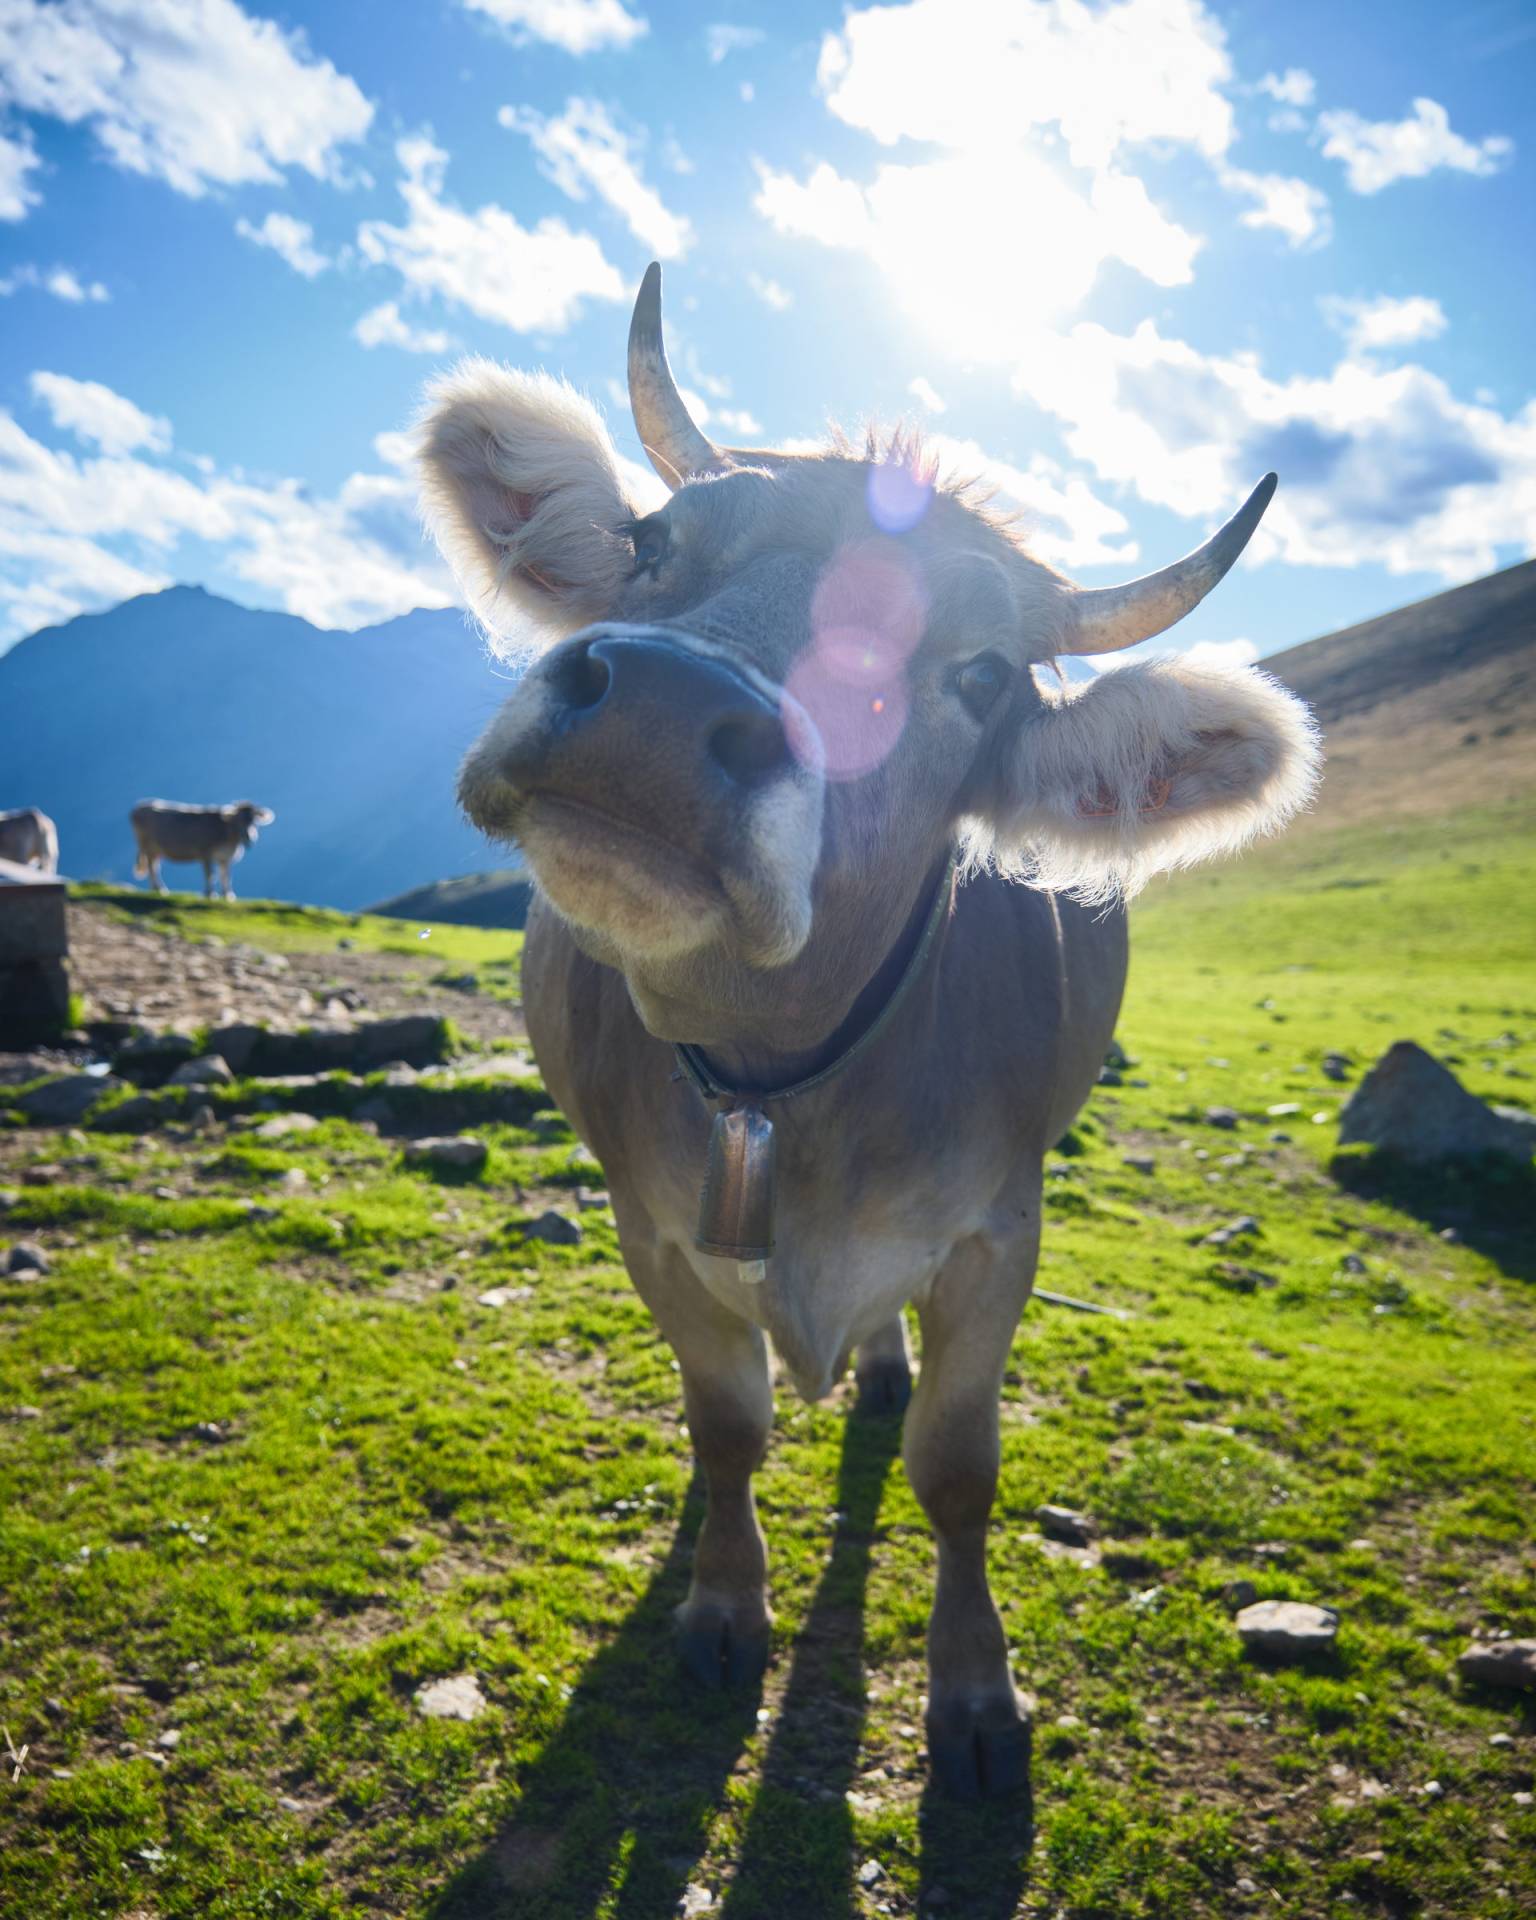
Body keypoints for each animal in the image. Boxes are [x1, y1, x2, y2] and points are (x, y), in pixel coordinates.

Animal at [131, 800, 275, 900]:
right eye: (239, 820)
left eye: (254, 820)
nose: (249, 837)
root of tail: (139, 806)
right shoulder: (206, 853)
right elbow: (210, 874)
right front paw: (210, 894)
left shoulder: (225, 858)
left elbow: (225, 876)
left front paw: (228, 895)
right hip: (147, 845)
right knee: (152, 867)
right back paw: (159, 889)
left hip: (156, 850)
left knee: (154, 865)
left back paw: (156, 888)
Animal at [415, 264, 1321, 1800]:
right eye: (654, 543)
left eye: (982, 676)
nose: (664, 708)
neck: (780, 1086)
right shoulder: (648, 1227)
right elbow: (726, 1423)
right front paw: (723, 1605)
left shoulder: (998, 1231)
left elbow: (958, 1475)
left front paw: (975, 1695)